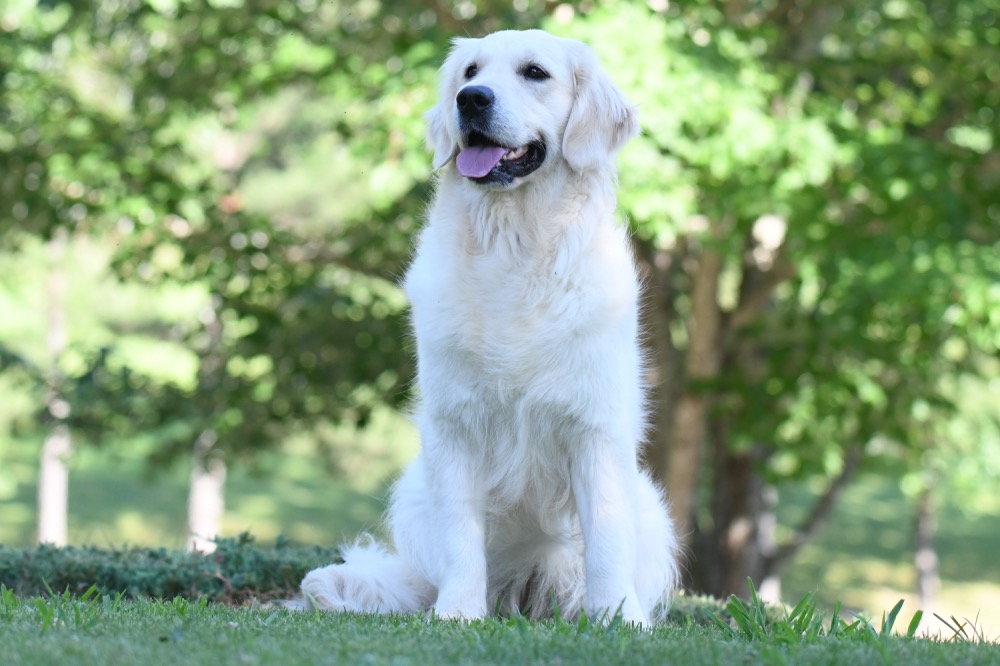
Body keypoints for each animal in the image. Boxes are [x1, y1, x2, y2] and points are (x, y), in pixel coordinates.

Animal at [300, 28, 680, 624]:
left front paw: (620, 618)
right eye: (469, 71)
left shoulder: (596, 427)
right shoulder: (454, 424)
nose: (471, 100)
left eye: (535, 72)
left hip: (650, 505)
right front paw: (457, 613)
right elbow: (460, 536)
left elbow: (607, 539)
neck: (514, 248)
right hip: (415, 491)